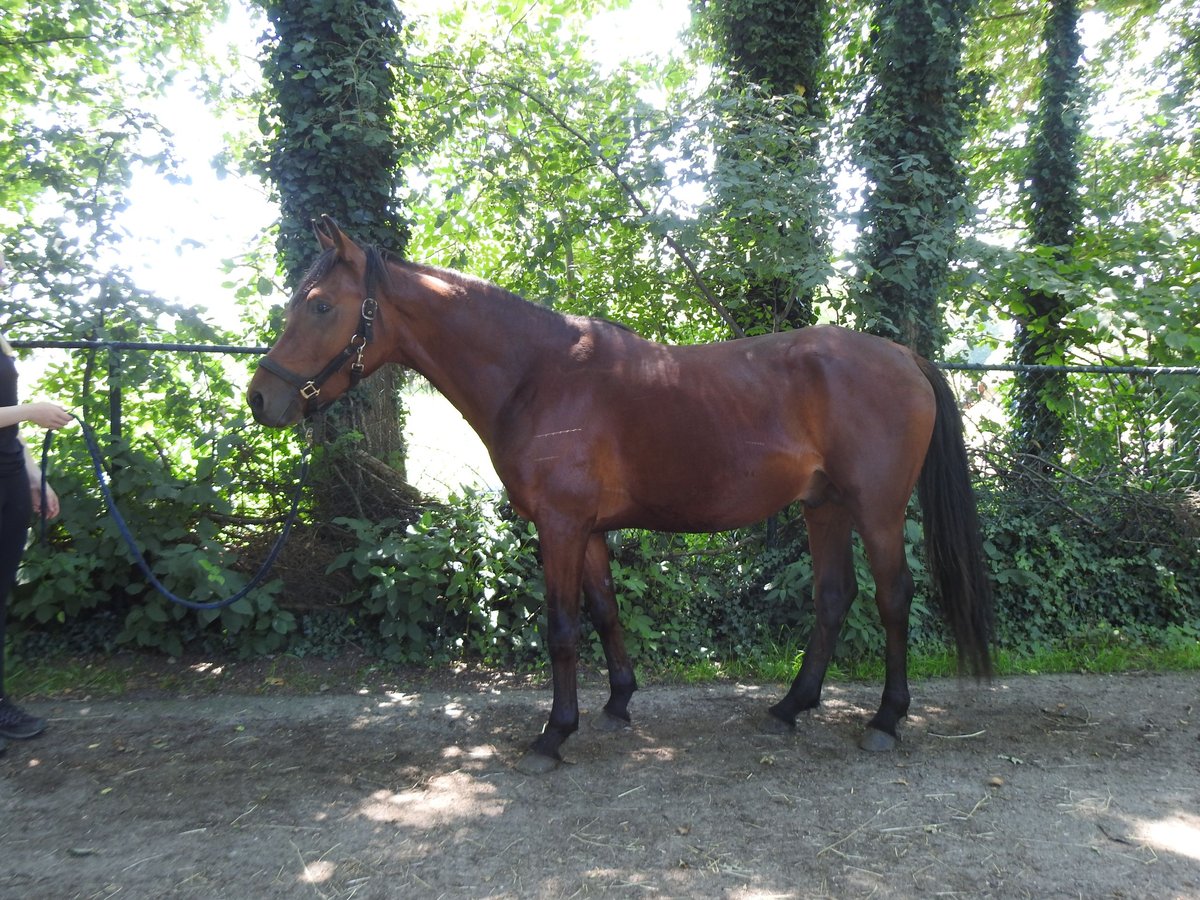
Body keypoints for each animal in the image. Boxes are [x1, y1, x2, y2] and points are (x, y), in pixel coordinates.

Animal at [248, 218, 988, 777]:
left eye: (320, 304)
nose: (261, 398)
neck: (539, 376)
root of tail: (903, 357)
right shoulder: (589, 530)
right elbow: (605, 613)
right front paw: (617, 705)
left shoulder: (559, 526)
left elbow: (562, 629)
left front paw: (553, 735)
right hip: (823, 506)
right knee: (833, 597)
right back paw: (788, 708)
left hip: (877, 510)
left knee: (893, 599)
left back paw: (886, 720)